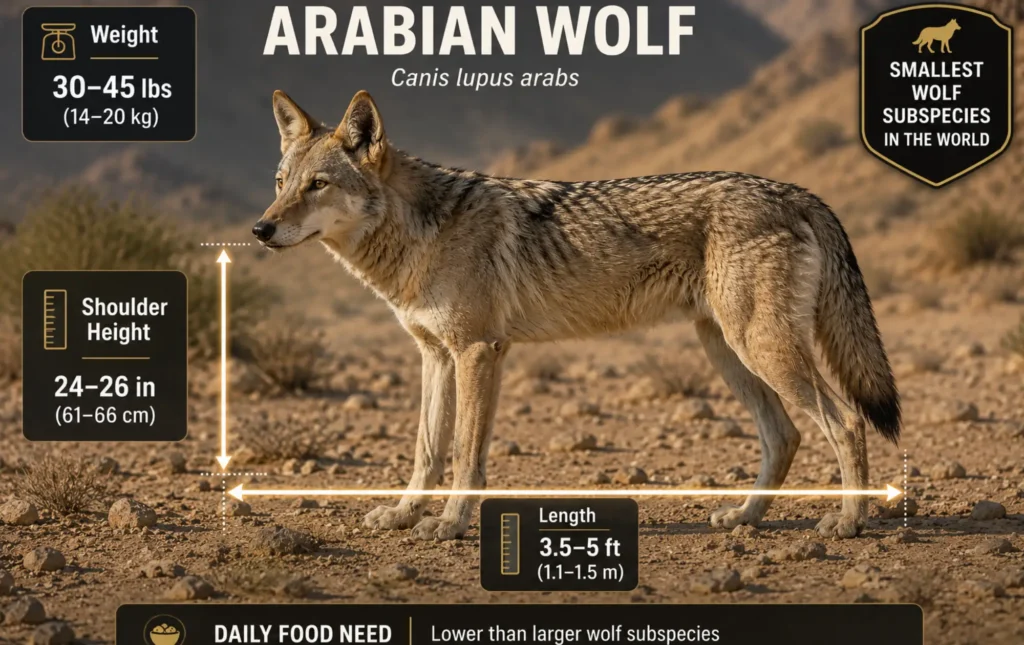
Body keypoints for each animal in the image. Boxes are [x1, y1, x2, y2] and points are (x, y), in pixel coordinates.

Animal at [253, 90, 901, 541]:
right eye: (281, 182)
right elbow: (426, 451)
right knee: (785, 435)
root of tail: (796, 191)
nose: (260, 229)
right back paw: (745, 516)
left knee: (845, 423)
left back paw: (848, 523)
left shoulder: (478, 351)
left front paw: (451, 525)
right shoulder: (434, 354)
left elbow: (464, 456)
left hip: (759, 349)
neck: (420, 234)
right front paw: (404, 515)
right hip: (729, 352)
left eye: (318, 185)